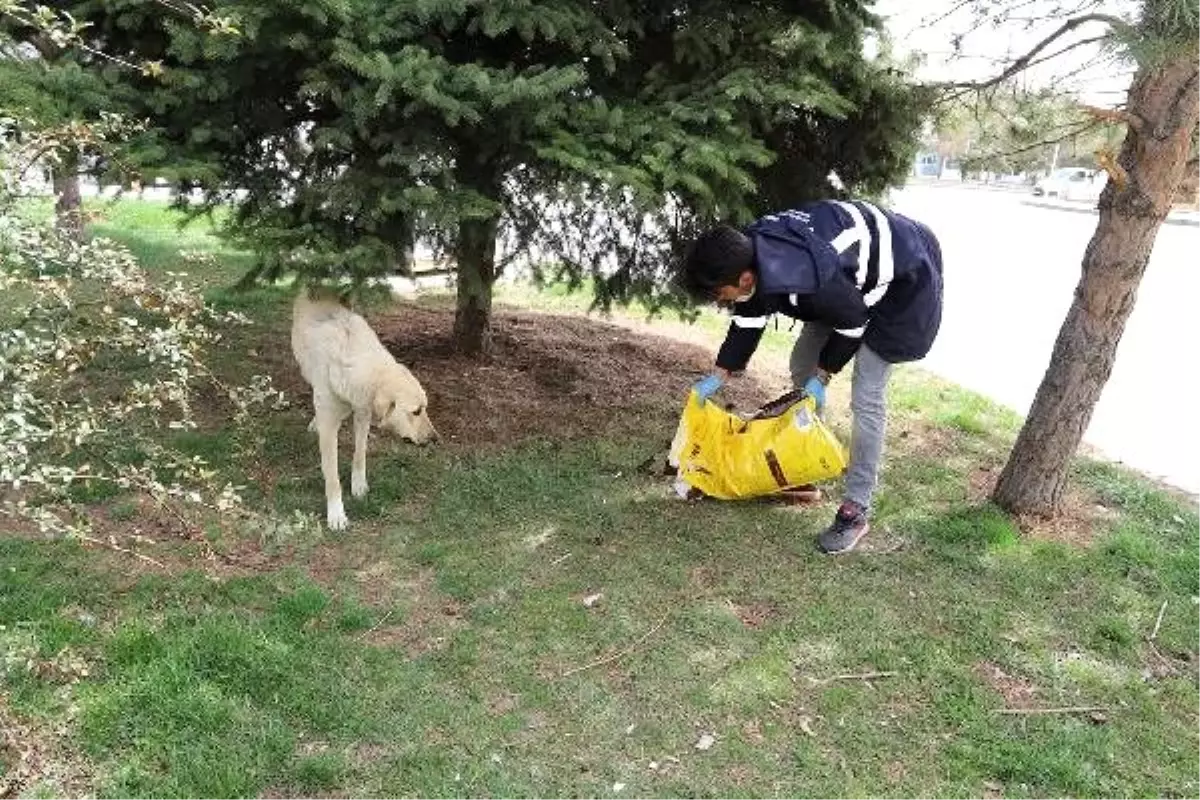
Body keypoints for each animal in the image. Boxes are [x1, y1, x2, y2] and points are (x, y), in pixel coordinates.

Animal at [290, 291, 441, 527]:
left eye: (424, 409)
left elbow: (360, 453)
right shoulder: (329, 427)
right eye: (416, 411)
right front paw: (336, 515)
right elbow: (332, 477)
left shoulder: (363, 413)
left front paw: (359, 486)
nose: (435, 439)